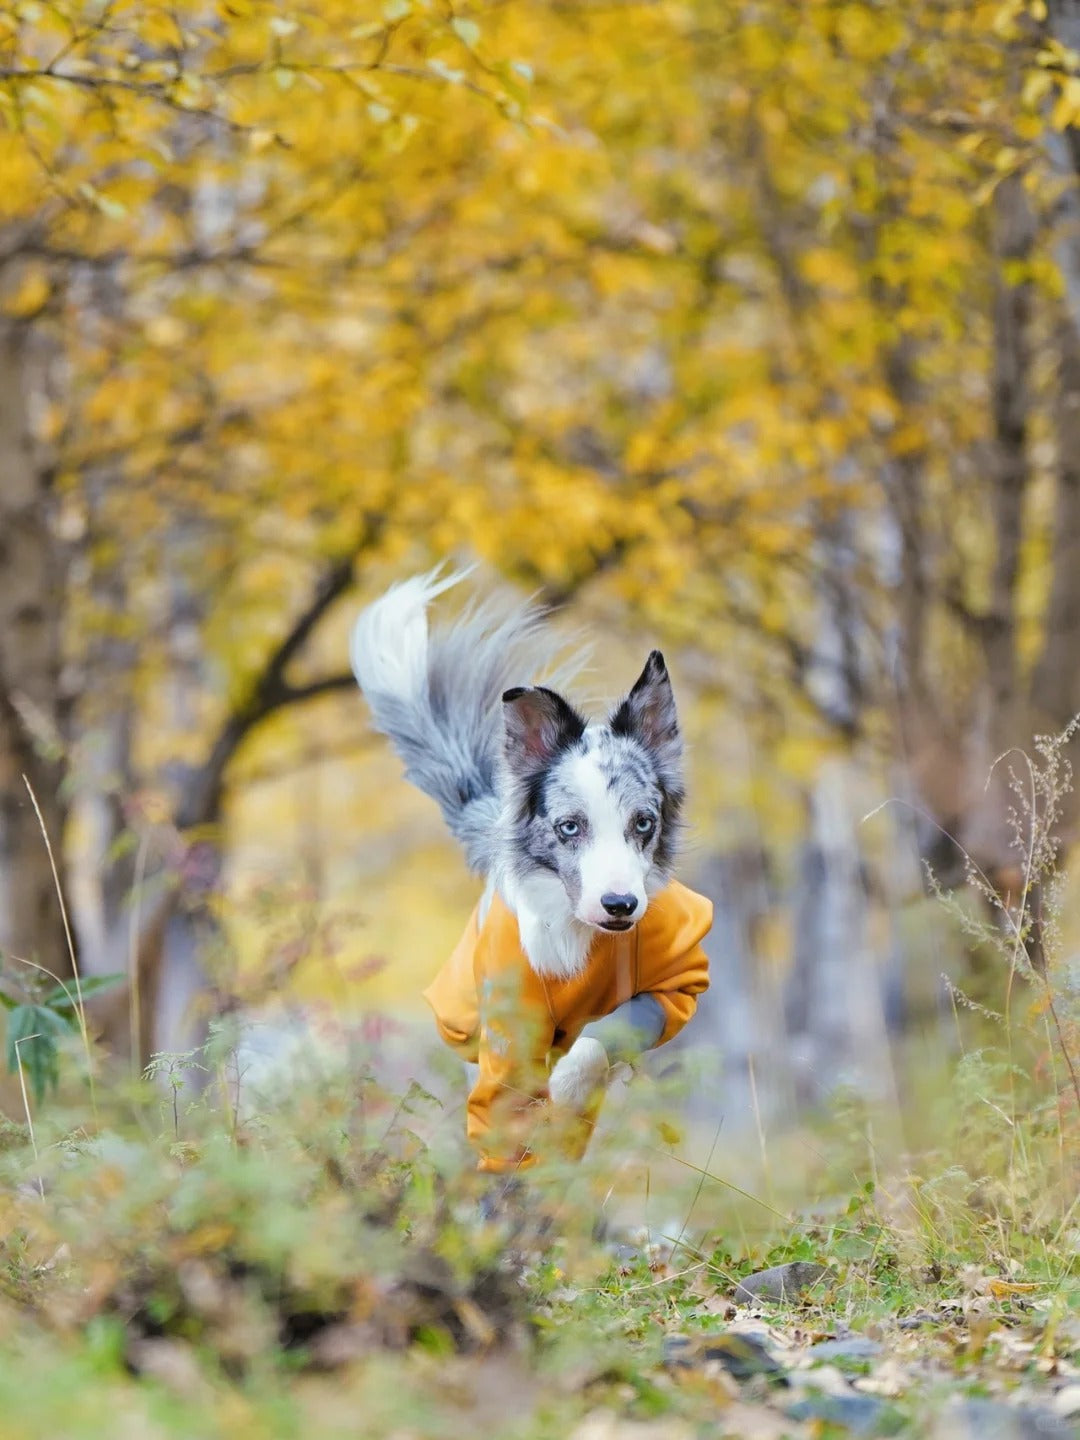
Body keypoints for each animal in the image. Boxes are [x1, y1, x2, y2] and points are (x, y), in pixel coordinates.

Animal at [351, 567, 714, 1175]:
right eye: (569, 827)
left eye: (644, 822)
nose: (621, 906)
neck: (578, 936)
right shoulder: (507, 1030)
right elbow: (504, 1121)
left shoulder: (676, 986)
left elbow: (603, 1038)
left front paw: (563, 1091)